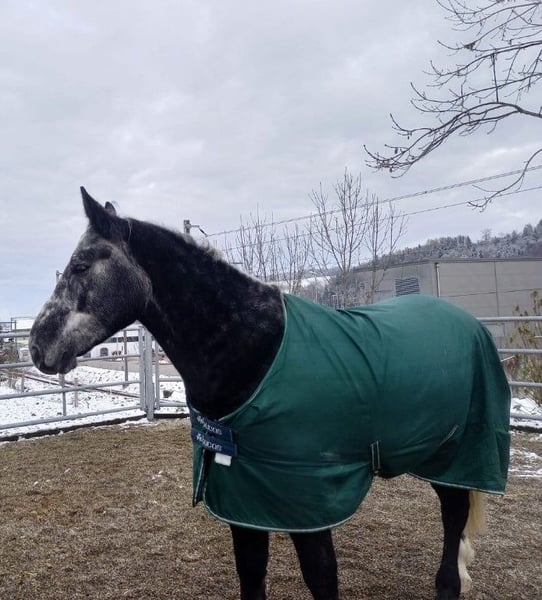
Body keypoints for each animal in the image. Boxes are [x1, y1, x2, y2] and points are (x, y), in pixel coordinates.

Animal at [29, 188, 511, 600]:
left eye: (81, 265)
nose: (36, 345)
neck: (254, 349)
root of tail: (469, 323)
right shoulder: (244, 499)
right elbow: (251, 574)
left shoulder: (308, 501)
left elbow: (321, 577)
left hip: (460, 453)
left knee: (453, 515)